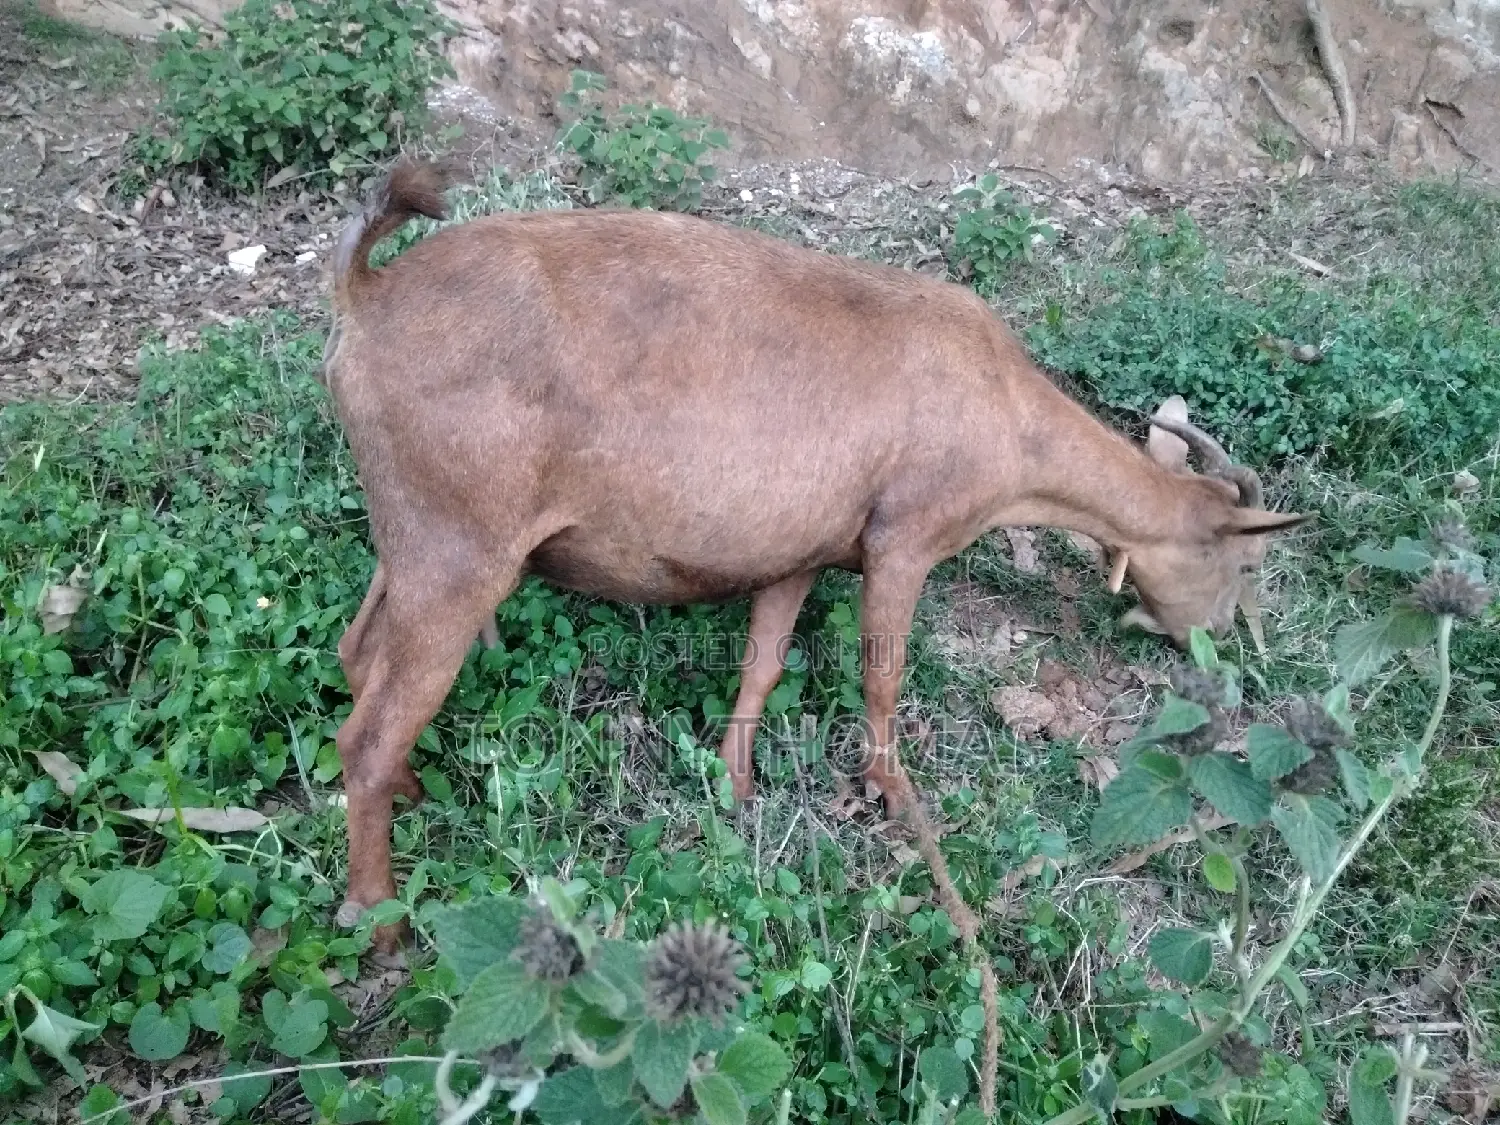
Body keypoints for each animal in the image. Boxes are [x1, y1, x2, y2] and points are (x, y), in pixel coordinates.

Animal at [320, 158, 1308, 951]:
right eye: (1248, 565)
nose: (1230, 643)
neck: (1006, 411)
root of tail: (368, 297)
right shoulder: (905, 538)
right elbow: (882, 672)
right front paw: (891, 792)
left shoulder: (801, 547)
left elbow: (762, 660)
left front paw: (735, 783)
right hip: (460, 548)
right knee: (365, 731)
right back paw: (379, 920)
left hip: (414, 534)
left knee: (357, 654)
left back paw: (411, 788)